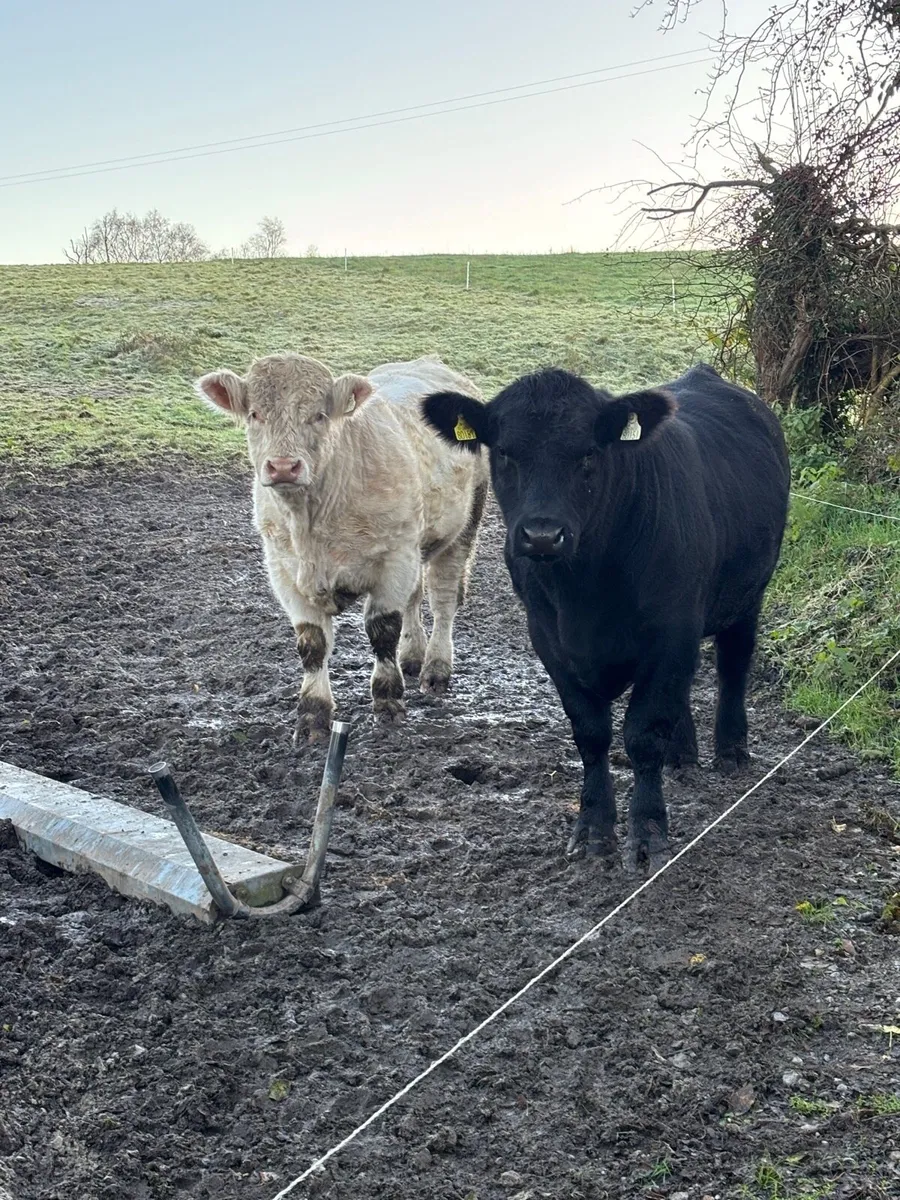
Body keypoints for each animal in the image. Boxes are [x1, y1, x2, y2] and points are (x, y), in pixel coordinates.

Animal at [195, 353, 488, 743]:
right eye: (255, 413)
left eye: (319, 415)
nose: (284, 466)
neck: (311, 524)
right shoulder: (282, 569)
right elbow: (312, 643)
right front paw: (312, 715)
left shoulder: (395, 559)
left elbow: (383, 630)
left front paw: (388, 702)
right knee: (415, 597)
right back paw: (412, 656)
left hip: (463, 527)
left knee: (443, 600)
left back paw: (435, 668)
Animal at [422, 363, 790, 874]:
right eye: (506, 453)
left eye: (589, 454)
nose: (542, 535)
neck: (585, 592)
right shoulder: (548, 639)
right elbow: (592, 733)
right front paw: (594, 829)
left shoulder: (671, 633)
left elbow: (644, 735)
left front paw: (648, 833)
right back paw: (683, 755)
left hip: (748, 594)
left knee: (733, 667)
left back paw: (731, 750)